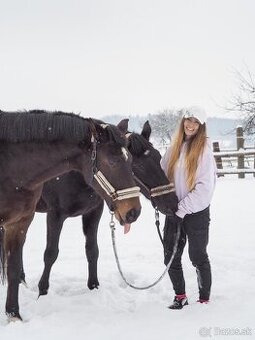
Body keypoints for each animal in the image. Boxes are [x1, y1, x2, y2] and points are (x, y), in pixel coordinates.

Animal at [32, 120, 177, 298]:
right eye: (139, 166)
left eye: (158, 157)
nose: (173, 203)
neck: (76, 173)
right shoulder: (55, 215)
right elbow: (51, 253)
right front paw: (42, 291)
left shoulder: (93, 213)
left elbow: (92, 250)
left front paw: (93, 286)